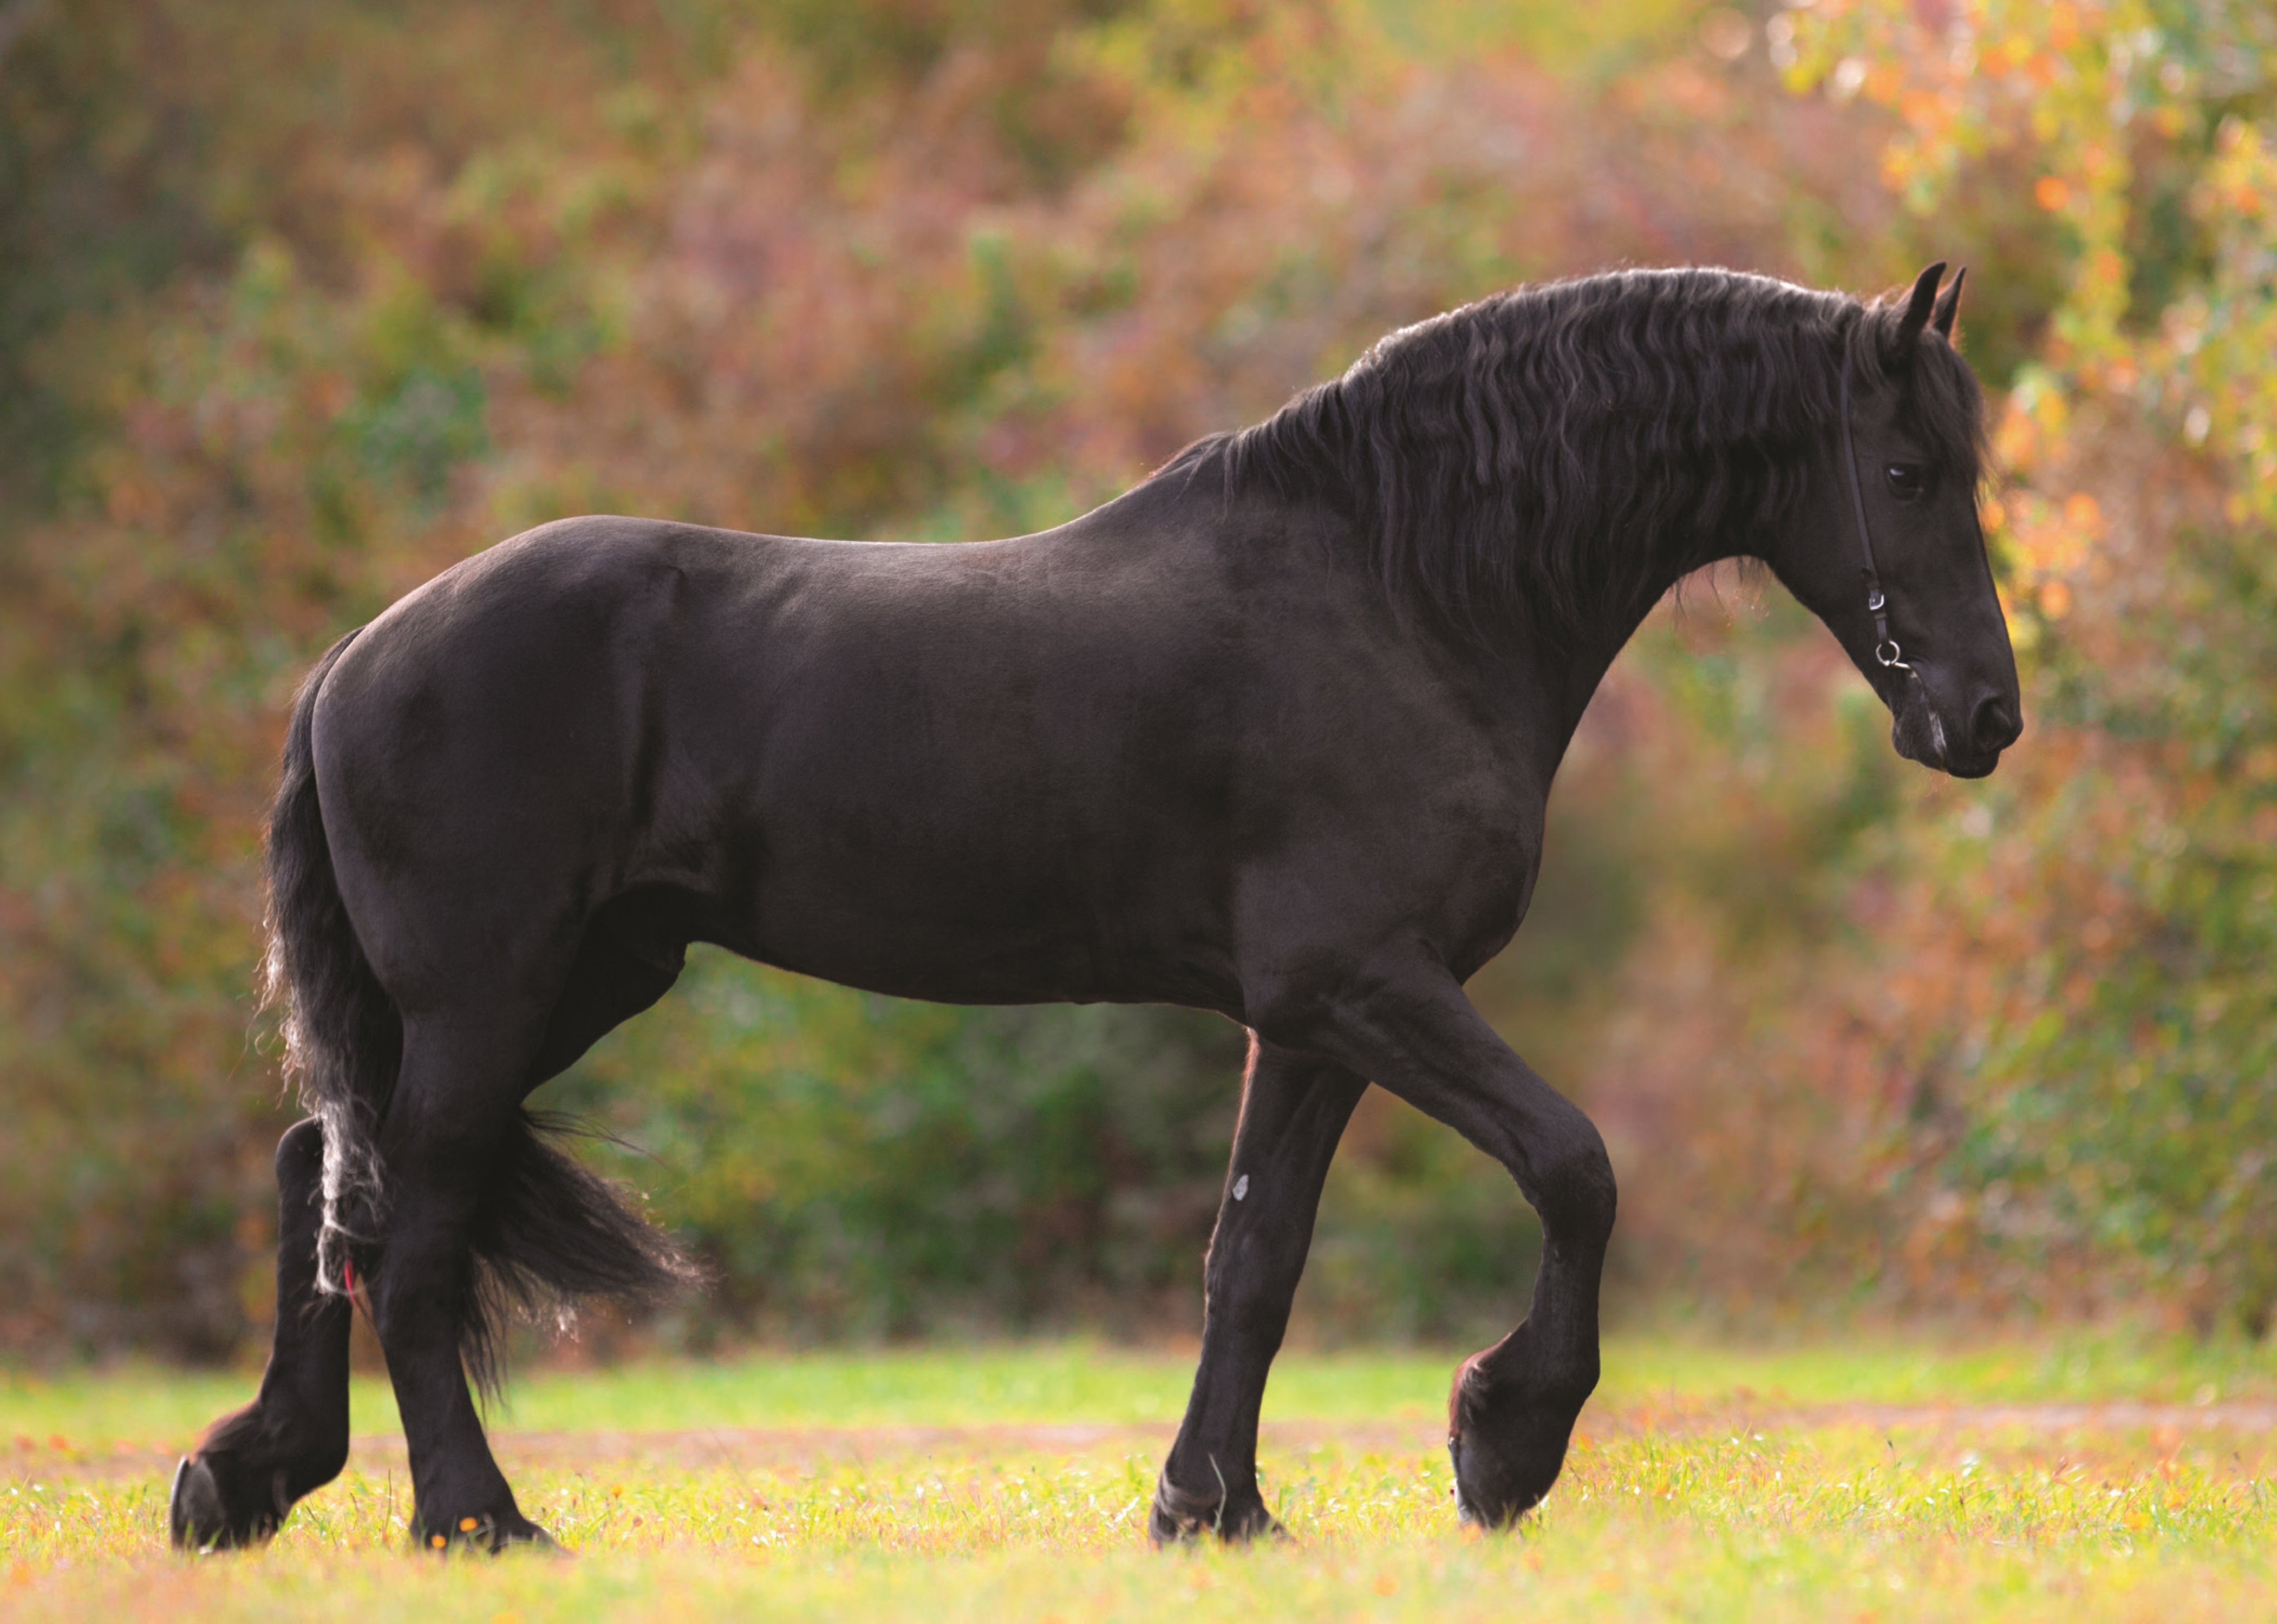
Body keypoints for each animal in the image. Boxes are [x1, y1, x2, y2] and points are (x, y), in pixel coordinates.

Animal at [168, 261, 2017, 1551]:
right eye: (1906, 470)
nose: (1984, 718)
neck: (1398, 592)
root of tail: (354, 659)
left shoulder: (1312, 1020)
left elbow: (1253, 1258)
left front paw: (1215, 1508)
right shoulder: (1365, 984)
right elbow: (1574, 1164)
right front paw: (1503, 1441)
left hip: (563, 985)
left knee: (324, 1173)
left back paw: (247, 1478)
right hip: (492, 995)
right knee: (404, 1237)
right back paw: (476, 1520)